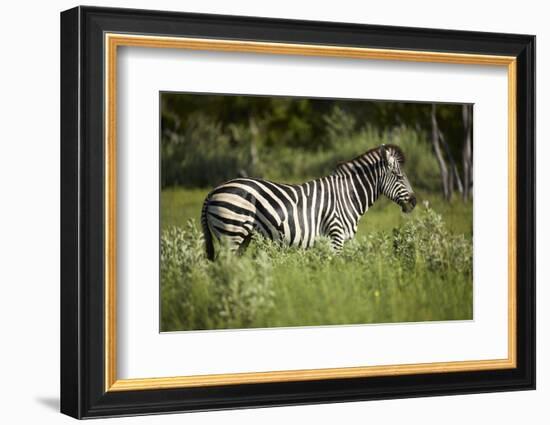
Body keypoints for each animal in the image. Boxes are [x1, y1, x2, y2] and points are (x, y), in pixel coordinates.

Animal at [203, 144, 418, 260]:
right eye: (399, 176)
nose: (415, 202)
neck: (347, 197)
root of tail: (213, 190)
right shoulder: (336, 236)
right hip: (231, 232)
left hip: (243, 236)